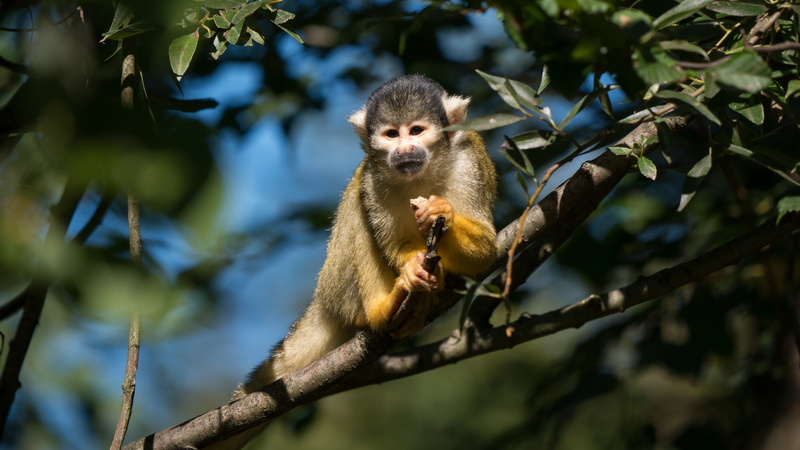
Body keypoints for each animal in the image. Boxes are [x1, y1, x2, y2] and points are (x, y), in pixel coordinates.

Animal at [211, 74, 497, 449]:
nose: (405, 149)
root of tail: (322, 300)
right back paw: (385, 309)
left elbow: (487, 252)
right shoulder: (373, 177)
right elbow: (389, 237)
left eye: (416, 131)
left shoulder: (470, 159)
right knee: (357, 209)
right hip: (340, 284)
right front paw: (411, 270)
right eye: (391, 134)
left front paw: (442, 212)